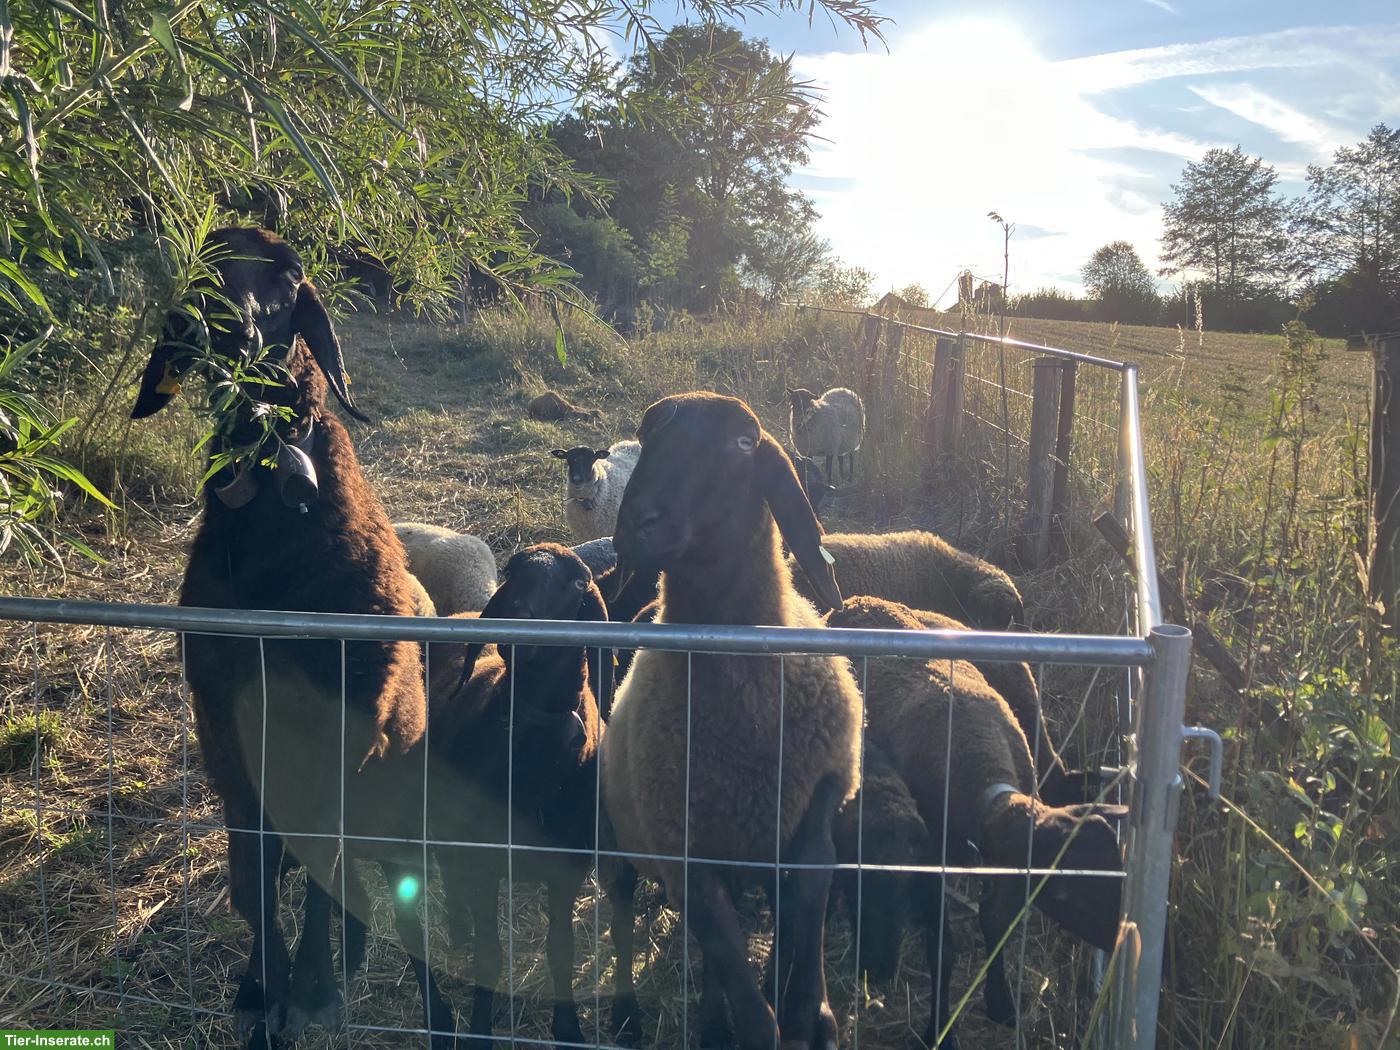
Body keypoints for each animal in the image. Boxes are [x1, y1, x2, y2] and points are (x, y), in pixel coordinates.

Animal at [130, 226, 453, 1047]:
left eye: (289, 277)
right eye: (203, 257)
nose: (211, 322)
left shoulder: (347, 728)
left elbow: (319, 874)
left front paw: (308, 990)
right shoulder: (225, 726)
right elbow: (252, 876)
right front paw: (262, 990)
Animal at [424, 544, 606, 1046]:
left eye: (577, 583)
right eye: (512, 571)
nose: (514, 616)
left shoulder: (568, 867)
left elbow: (561, 949)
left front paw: (568, 1027)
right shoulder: (483, 862)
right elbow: (489, 955)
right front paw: (481, 1029)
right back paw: (457, 927)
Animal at [601, 391, 862, 1050]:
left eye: (744, 443)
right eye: (646, 437)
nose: (638, 524)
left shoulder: (820, 790)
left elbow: (812, 879)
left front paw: (811, 1011)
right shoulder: (685, 855)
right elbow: (746, 999)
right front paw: (768, 1019)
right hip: (623, 835)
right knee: (627, 914)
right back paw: (640, 1015)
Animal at [826, 597, 1126, 1048]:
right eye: (1065, 893)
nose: (1122, 945)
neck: (985, 773)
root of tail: (854, 601)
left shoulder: (1006, 868)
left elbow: (995, 924)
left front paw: (1000, 1002)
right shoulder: (928, 862)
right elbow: (943, 948)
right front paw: (939, 1029)